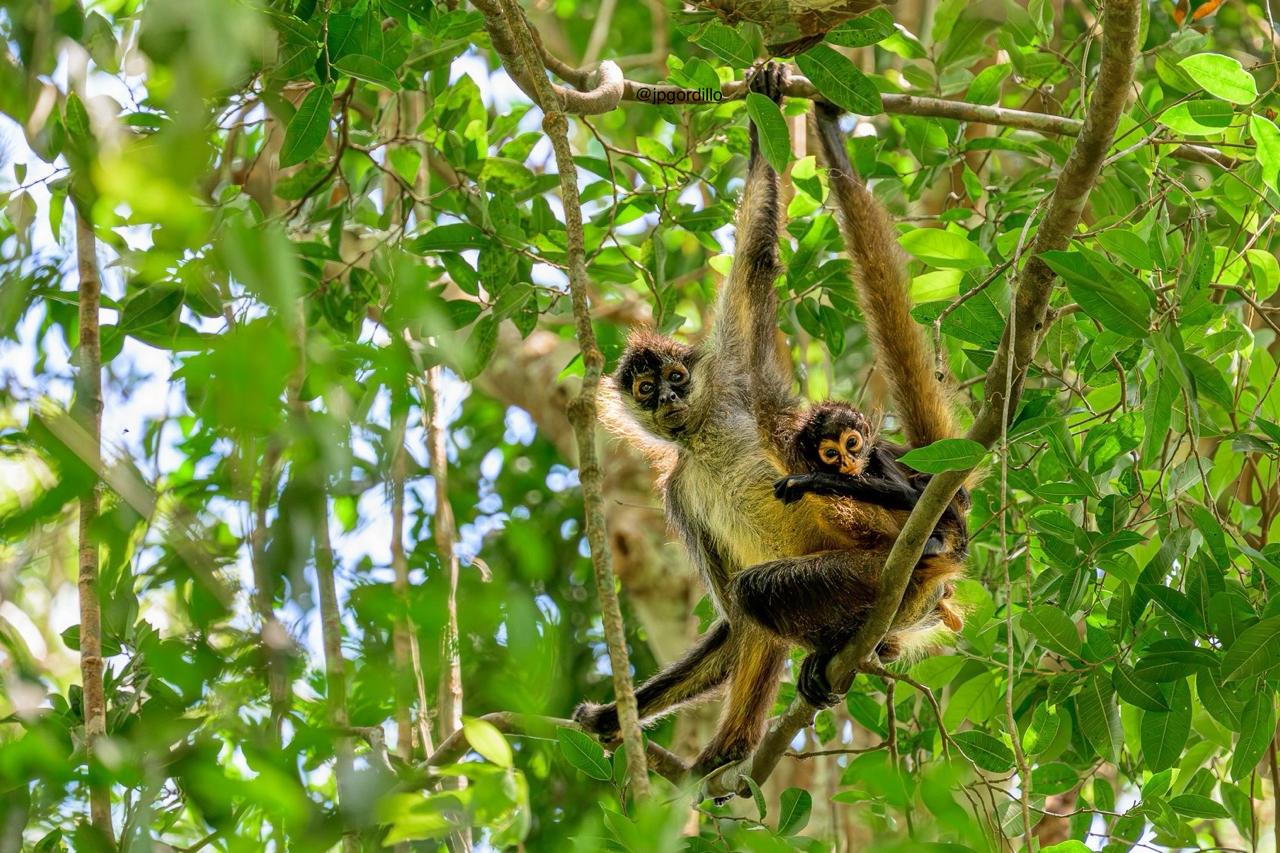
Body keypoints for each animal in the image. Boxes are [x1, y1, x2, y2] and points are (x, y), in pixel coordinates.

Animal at [572, 66, 964, 781]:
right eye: (644, 388)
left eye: (677, 377)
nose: (664, 399)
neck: (700, 434)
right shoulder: (679, 493)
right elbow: (736, 625)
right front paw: (623, 721)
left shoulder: (733, 373)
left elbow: (754, 258)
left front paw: (765, 102)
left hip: (873, 564)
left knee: (763, 585)